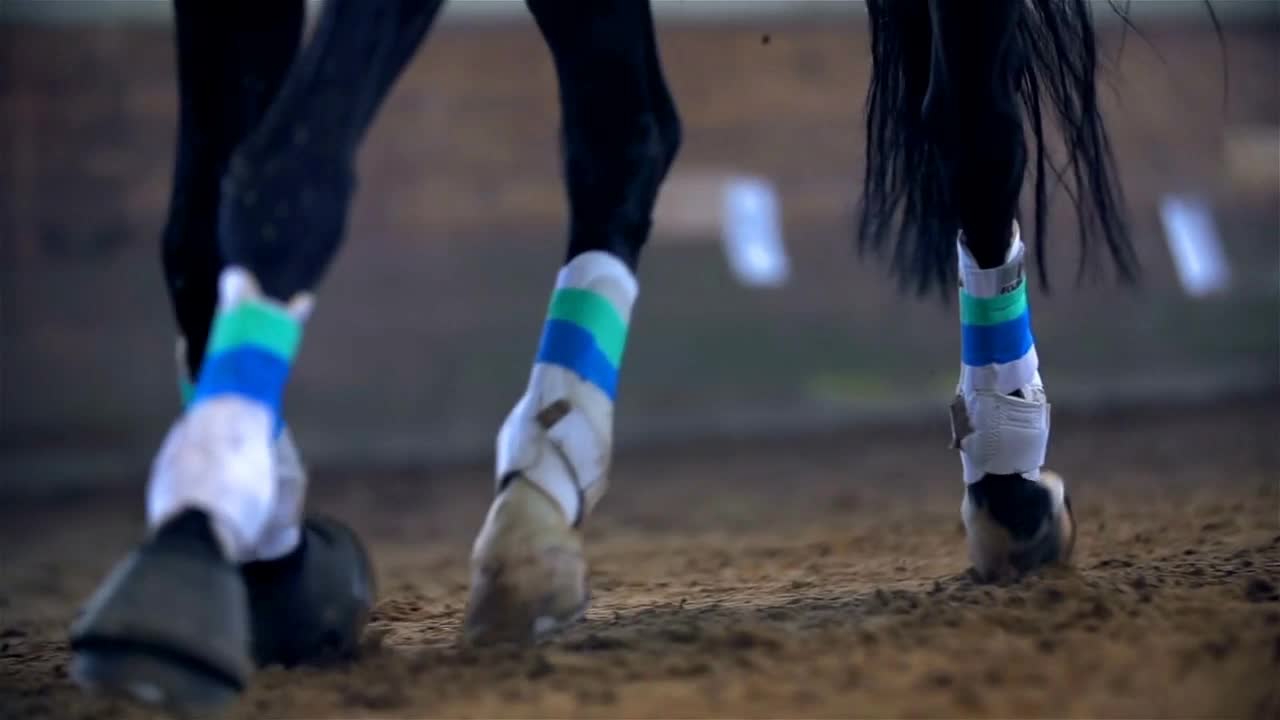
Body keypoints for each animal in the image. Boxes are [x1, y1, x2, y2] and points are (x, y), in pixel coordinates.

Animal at [64, 1, 1136, 712]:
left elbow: (287, 169)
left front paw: (196, 537)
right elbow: (197, 219)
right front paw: (266, 543)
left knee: (973, 128)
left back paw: (1008, 477)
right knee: (630, 130)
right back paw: (537, 496)